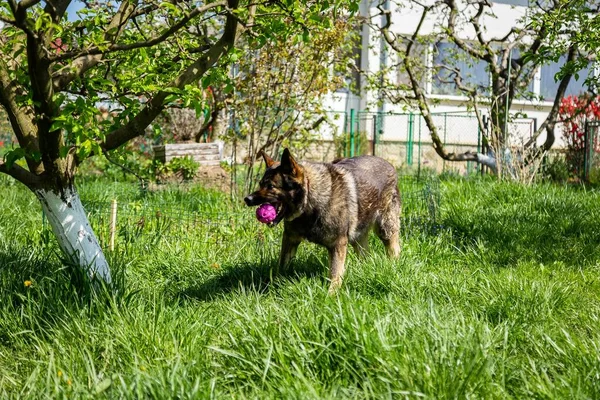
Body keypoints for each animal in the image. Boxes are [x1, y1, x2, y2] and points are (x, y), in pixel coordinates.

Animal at [241, 148, 400, 292]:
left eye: (271, 186)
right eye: (261, 184)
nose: (247, 199)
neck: (310, 203)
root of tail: (388, 164)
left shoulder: (338, 244)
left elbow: (335, 273)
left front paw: (331, 295)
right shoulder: (290, 239)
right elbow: (282, 266)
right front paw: (275, 286)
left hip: (385, 228)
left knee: (393, 248)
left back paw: (393, 266)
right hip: (357, 236)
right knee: (365, 254)